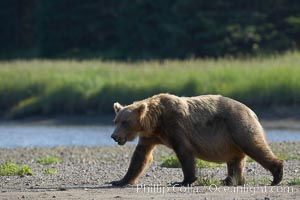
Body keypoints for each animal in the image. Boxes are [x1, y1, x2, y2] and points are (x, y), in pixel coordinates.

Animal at [110, 93, 284, 186]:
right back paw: (230, 180)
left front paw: (184, 181)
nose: (114, 136)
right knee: (235, 160)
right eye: (116, 121)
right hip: (230, 139)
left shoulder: (176, 126)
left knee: (254, 147)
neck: (156, 122)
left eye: (125, 122)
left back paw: (277, 175)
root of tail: (252, 111)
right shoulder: (149, 136)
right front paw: (119, 180)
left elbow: (184, 151)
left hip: (238, 126)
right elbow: (140, 157)